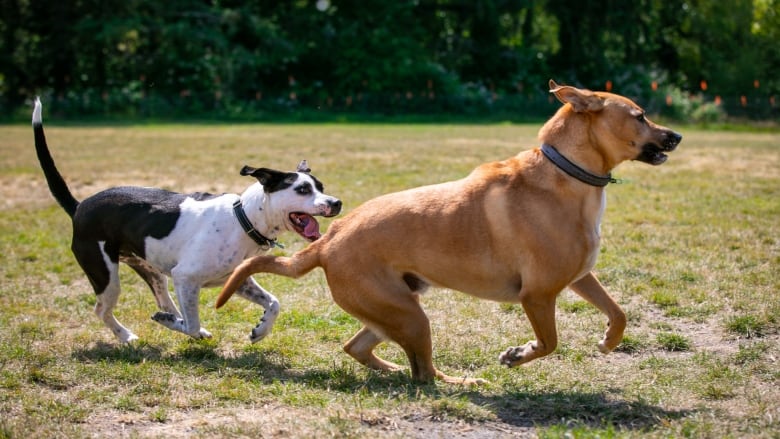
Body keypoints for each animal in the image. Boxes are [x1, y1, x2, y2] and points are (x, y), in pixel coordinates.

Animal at [31, 99, 342, 344]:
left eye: (321, 187)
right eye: (302, 190)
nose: (336, 203)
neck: (243, 219)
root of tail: (80, 207)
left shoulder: (236, 279)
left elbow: (274, 303)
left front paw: (260, 330)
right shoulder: (186, 276)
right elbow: (191, 325)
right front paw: (181, 326)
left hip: (150, 268)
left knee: (163, 298)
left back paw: (168, 316)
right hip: (106, 276)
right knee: (102, 310)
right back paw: (128, 336)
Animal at [215, 81, 684, 384]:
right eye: (640, 115)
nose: (677, 136)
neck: (565, 175)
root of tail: (327, 242)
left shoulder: (579, 276)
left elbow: (618, 313)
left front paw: (607, 341)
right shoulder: (537, 295)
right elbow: (549, 342)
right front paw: (516, 355)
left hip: (396, 310)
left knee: (362, 349)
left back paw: (392, 371)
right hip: (410, 316)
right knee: (423, 375)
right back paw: (458, 382)